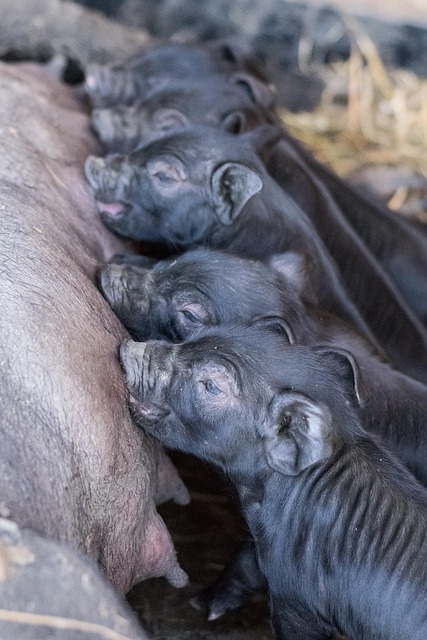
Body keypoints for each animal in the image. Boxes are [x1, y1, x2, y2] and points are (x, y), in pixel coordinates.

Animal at [120, 325, 427, 640]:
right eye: (194, 337)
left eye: (212, 385)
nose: (131, 347)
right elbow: (245, 561)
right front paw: (203, 606)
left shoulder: (297, 600)